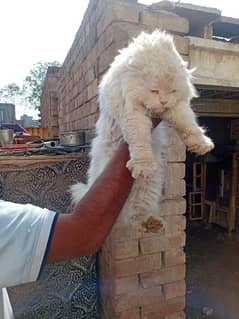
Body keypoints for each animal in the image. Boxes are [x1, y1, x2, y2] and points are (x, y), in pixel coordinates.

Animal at [70, 29, 214, 230]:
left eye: (172, 91)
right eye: (154, 90)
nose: (163, 101)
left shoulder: (176, 107)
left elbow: (189, 125)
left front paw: (202, 145)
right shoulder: (132, 114)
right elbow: (139, 140)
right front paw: (143, 165)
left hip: (149, 193)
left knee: (140, 215)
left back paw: (153, 222)